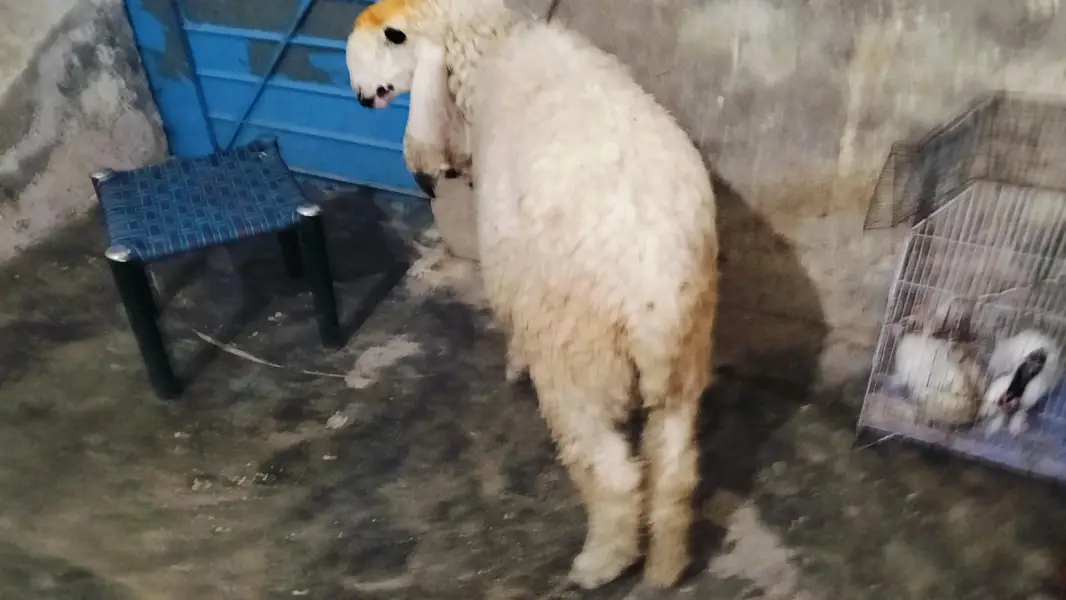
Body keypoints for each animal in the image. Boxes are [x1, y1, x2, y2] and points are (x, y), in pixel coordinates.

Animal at [346, 0, 719, 589]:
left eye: (385, 45)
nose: (362, 98)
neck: (491, 47)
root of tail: (654, 293)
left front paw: (514, 362)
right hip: (685, 359)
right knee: (674, 465)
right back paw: (665, 567)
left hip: (579, 357)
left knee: (611, 470)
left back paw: (600, 562)